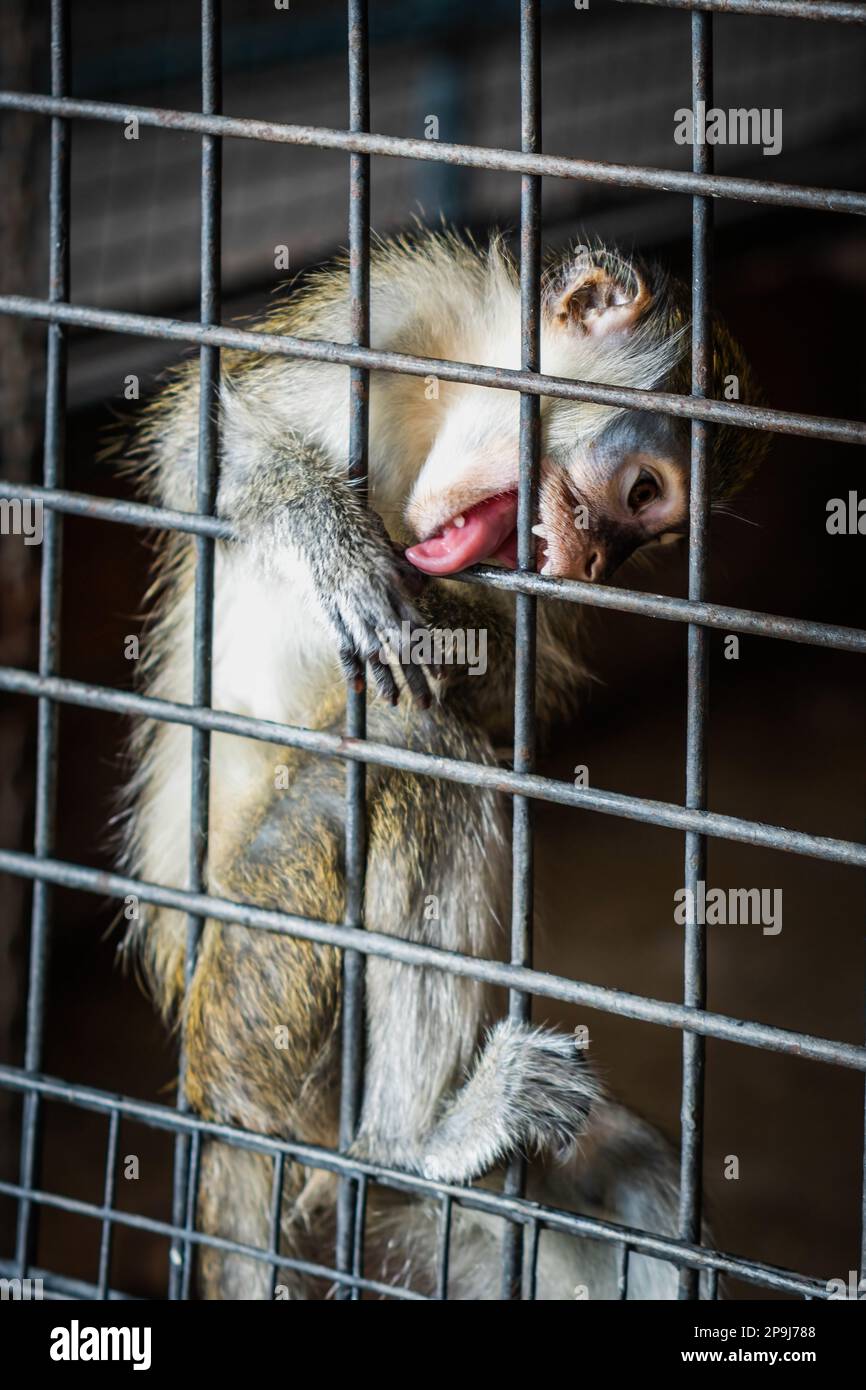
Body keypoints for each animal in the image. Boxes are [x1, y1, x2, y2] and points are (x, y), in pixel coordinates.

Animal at [120, 230, 767, 1301]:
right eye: (641, 492)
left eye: (643, 533)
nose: (592, 559)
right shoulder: (394, 311)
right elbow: (197, 442)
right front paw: (328, 541)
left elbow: (493, 676)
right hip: (257, 984)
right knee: (414, 756)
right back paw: (411, 1141)